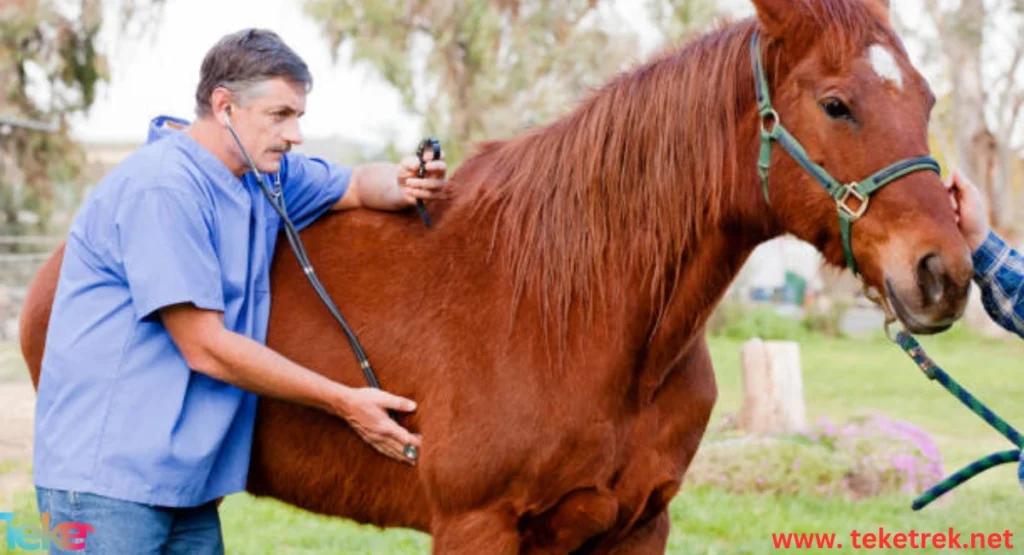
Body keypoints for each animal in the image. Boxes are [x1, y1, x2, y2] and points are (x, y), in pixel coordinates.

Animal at [19, 2, 970, 552]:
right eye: (837, 103)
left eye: (927, 98)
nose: (945, 273)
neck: (573, 312)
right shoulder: (477, 525)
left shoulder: (635, 526)